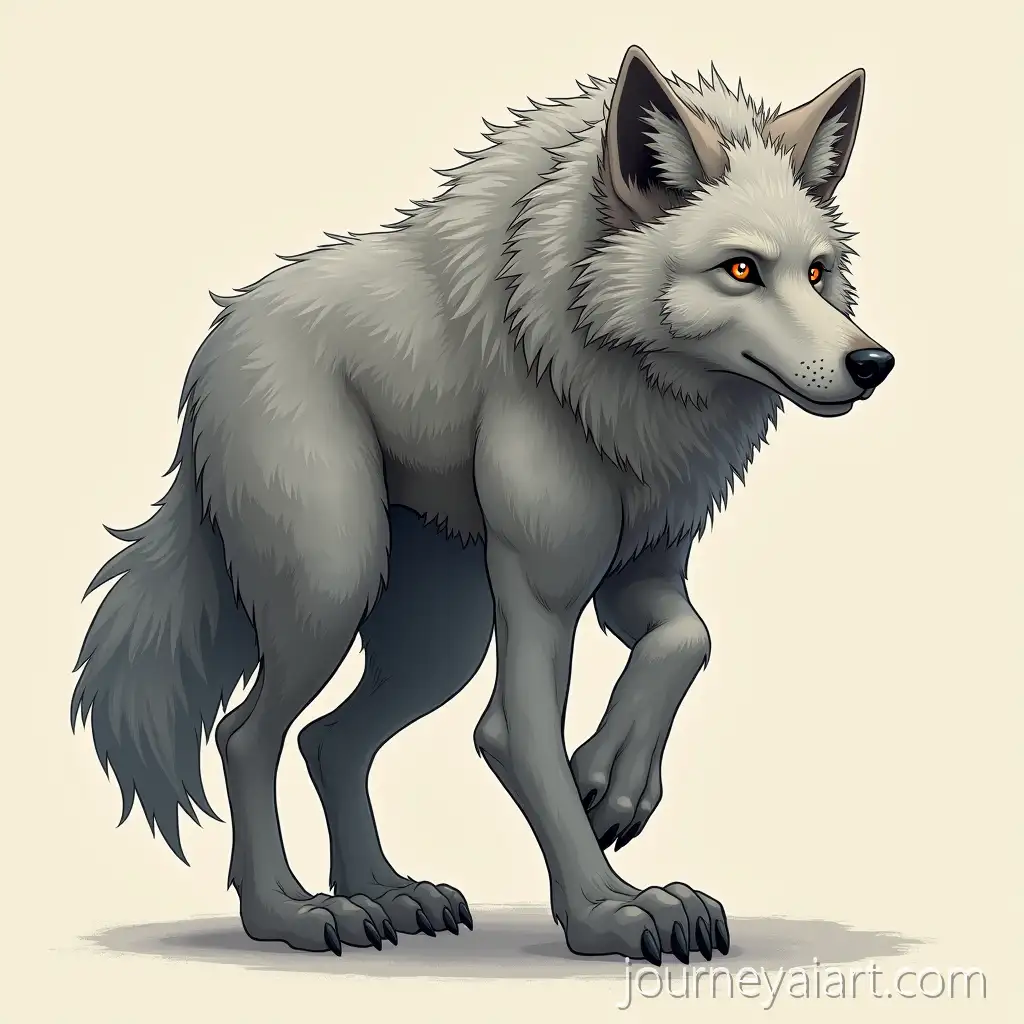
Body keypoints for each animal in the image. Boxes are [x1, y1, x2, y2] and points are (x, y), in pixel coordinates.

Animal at [71, 44, 894, 966]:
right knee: (247, 735)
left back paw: (390, 895)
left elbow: (688, 640)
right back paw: (291, 912)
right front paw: (609, 911)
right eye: (742, 269)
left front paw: (614, 782)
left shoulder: (639, 576)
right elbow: (517, 737)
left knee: (329, 739)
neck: (588, 355)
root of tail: (217, 342)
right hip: (333, 592)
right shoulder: (544, 586)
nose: (873, 363)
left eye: (818, 273)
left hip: (440, 640)